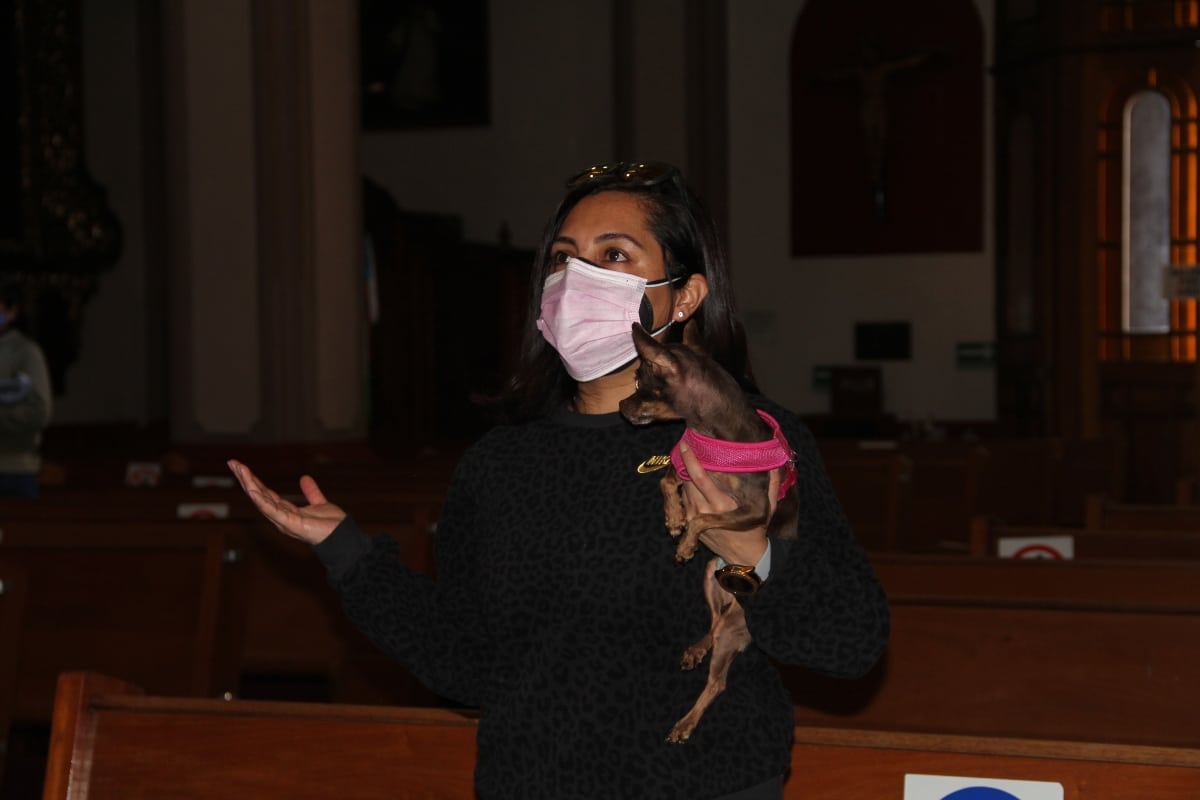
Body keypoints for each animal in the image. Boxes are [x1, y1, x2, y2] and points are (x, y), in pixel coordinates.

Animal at [619, 321, 796, 743]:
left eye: (639, 382)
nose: (620, 408)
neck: (710, 435)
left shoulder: (755, 510)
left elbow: (703, 519)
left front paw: (685, 541)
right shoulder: (683, 465)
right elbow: (666, 481)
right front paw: (674, 518)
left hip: (736, 621)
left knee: (717, 681)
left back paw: (686, 723)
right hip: (711, 579)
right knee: (713, 626)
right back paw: (697, 649)